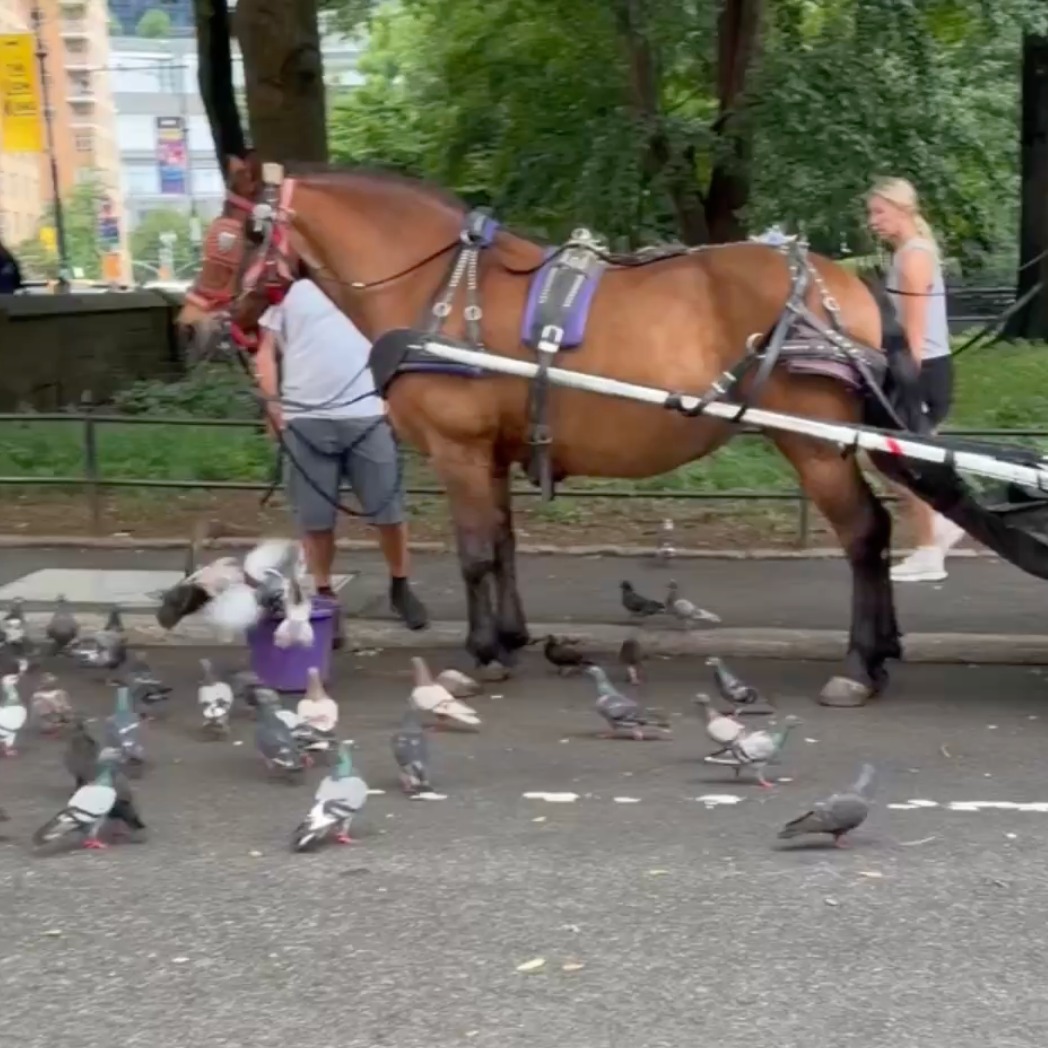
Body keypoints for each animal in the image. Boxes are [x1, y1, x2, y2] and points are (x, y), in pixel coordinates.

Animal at [177, 153, 925, 709]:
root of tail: (837, 283)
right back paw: (884, 649)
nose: (191, 326)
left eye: (235, 239)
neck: (439, 288)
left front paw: (481, 655)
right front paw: (509, 636)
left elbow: (475, 553)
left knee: (865, 534)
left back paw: (859, 665)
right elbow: (503, 545)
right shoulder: (492, 455)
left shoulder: (458, 451)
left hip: (813, 443)